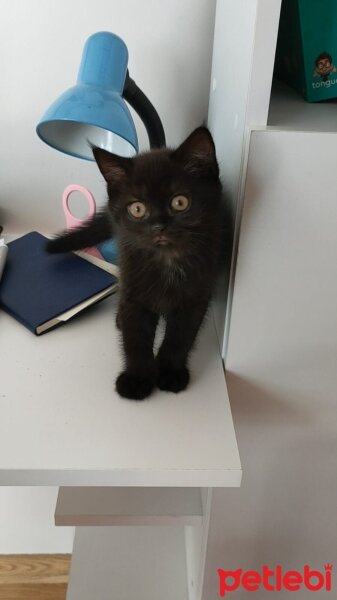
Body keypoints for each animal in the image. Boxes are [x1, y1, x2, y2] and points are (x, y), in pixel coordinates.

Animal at [46, 127, 222, 398]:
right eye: (137, 209)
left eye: (180, 202)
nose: (158, 227)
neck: (167, 261)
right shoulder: (133, 290)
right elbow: (135, 337)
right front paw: (136, 379)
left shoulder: (197, 294)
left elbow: (180, 336)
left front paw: (170, 372)